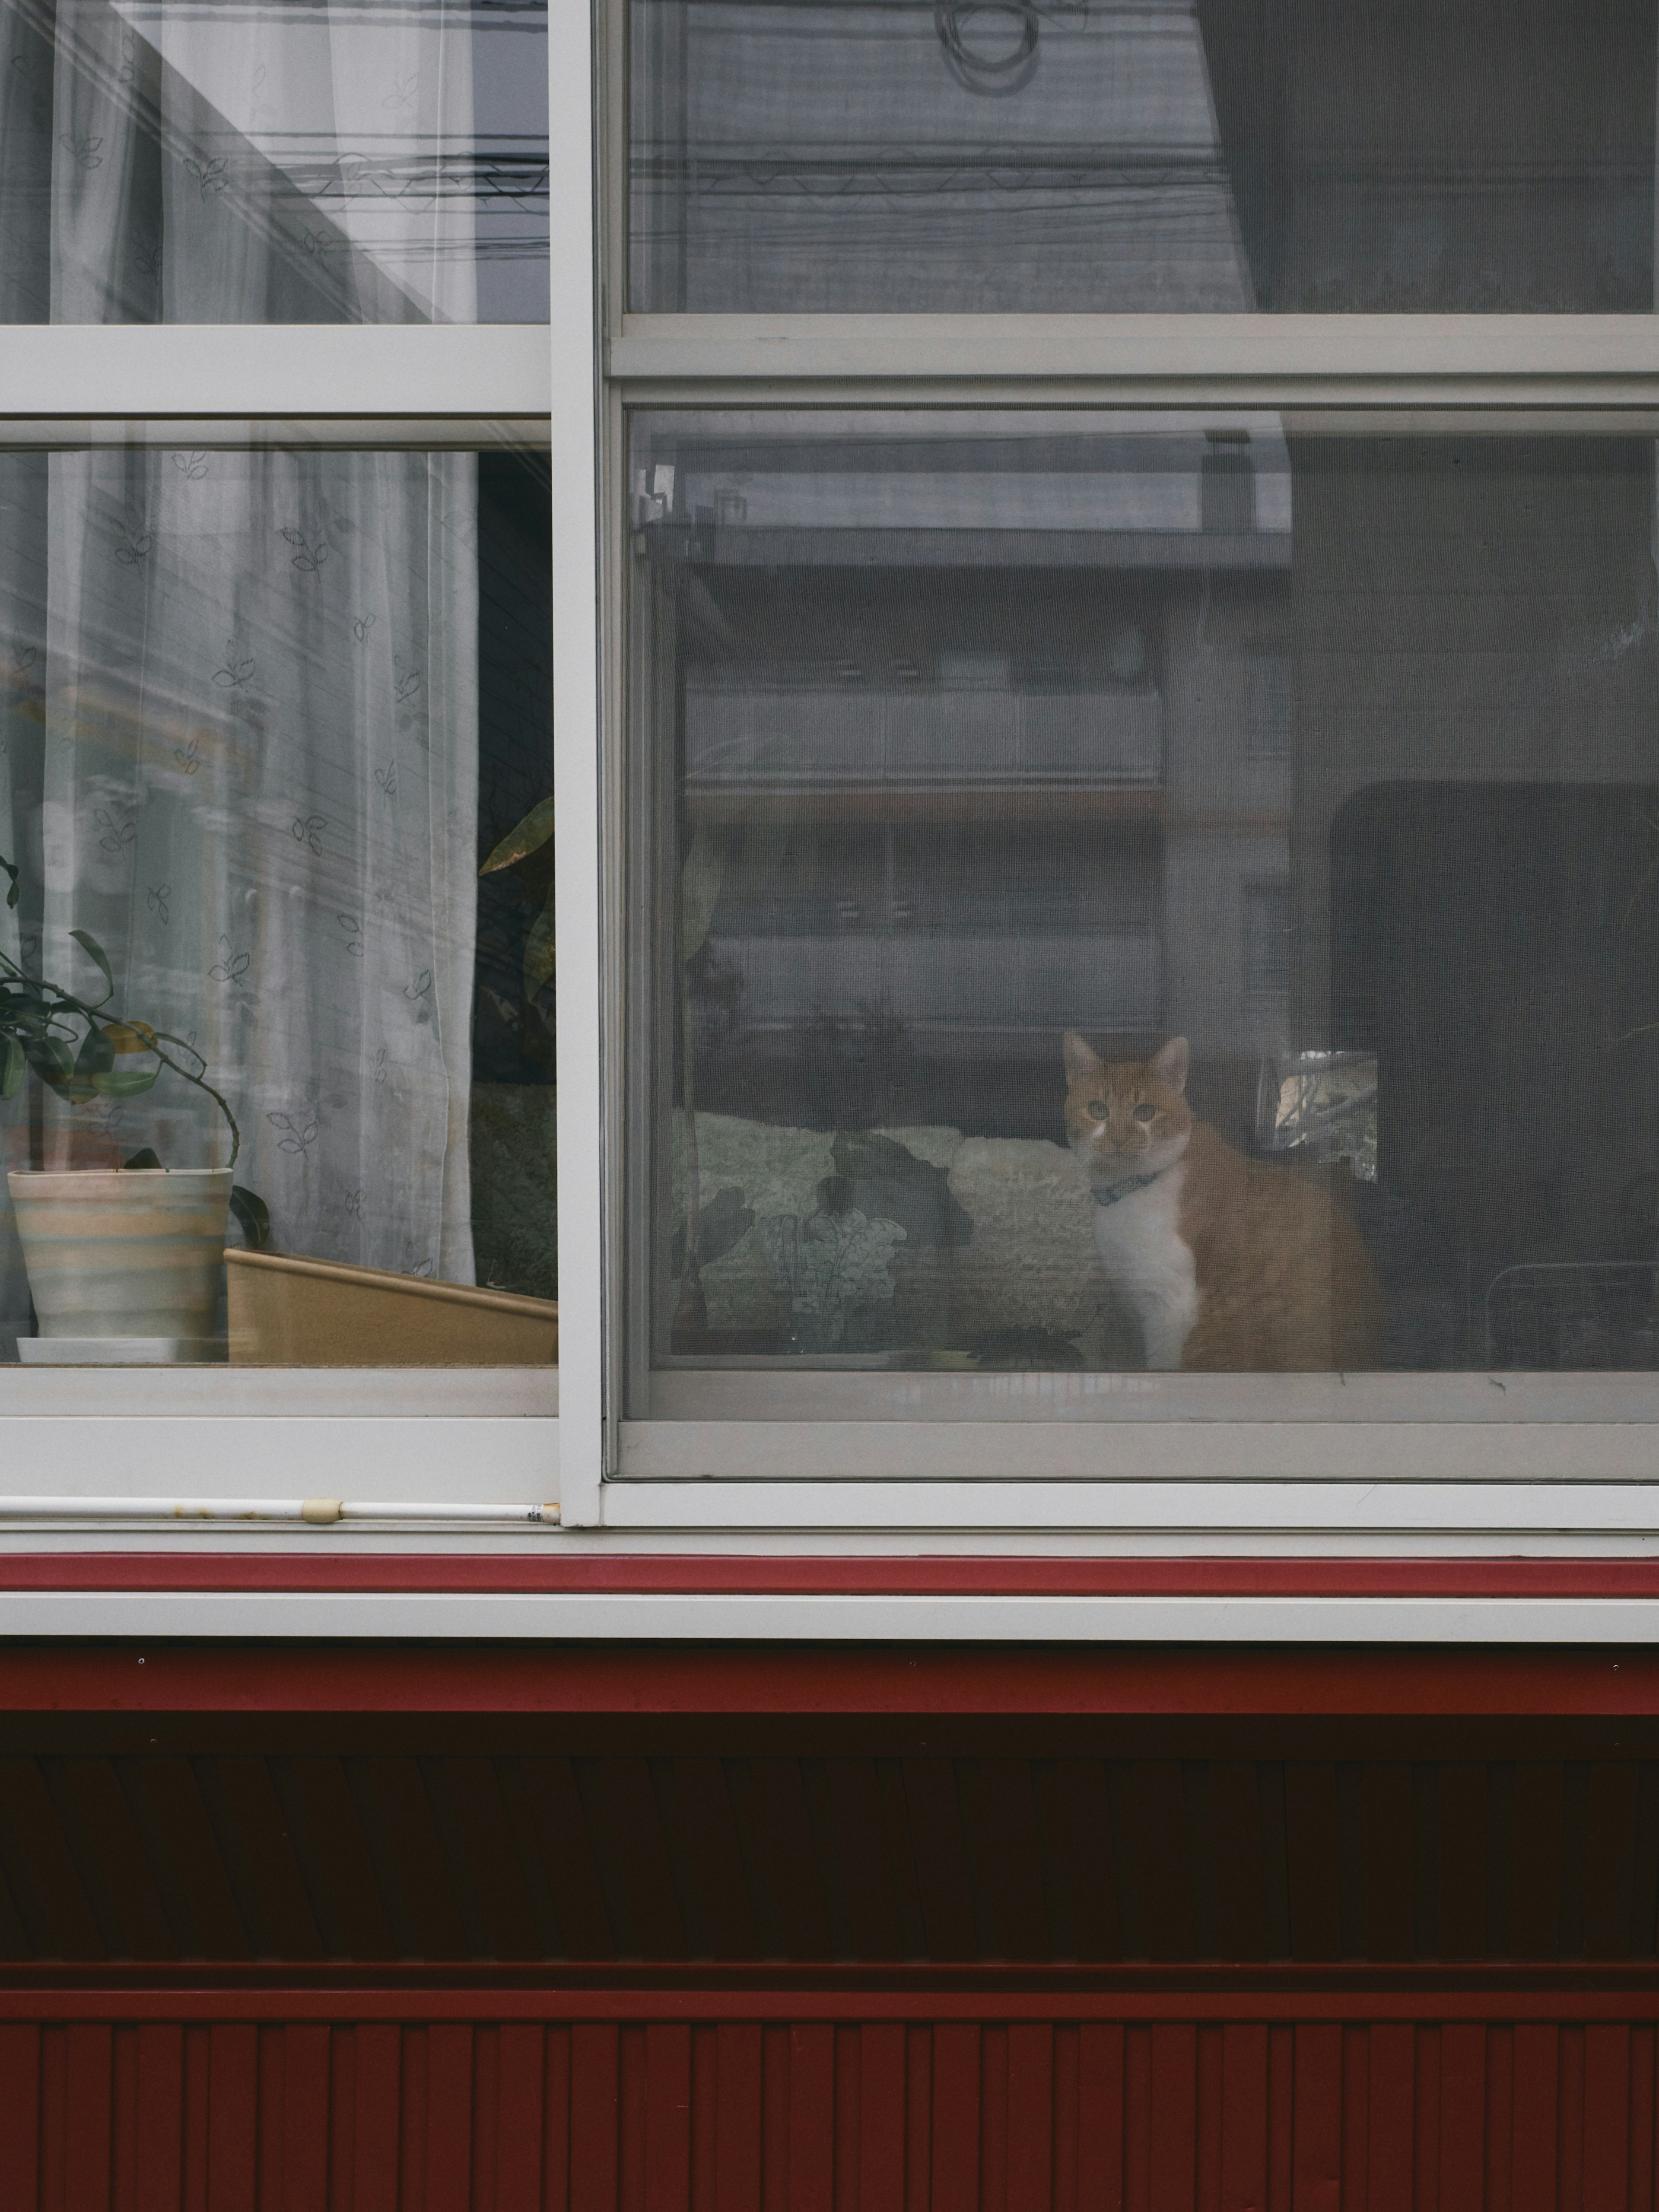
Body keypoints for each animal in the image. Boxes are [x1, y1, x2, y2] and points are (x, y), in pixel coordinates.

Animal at [1066, 1030, 1389, 1371]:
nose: (1118, 1139)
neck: (1130, 1188)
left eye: (1145, 1112)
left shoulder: (1169, 1306)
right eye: (1098, 1111)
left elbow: (1161, 1366)